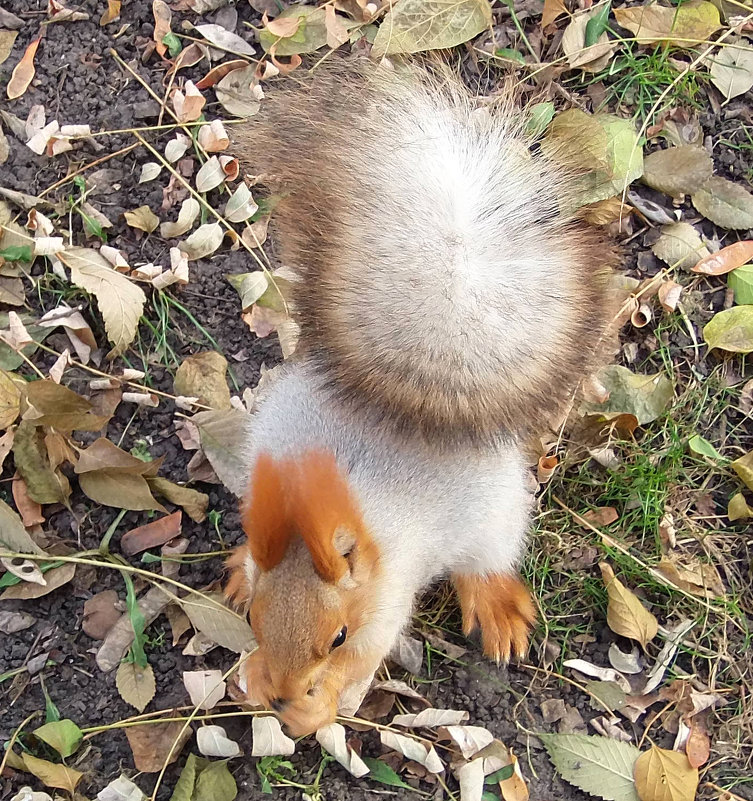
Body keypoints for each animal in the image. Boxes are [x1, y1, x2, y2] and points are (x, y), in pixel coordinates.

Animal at [225, 57, 616, 736]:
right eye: (254, 620)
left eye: (337, 637)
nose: (283, 691)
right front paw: (257, 677)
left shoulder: (386, 604)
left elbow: (363, 663)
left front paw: (314, 706)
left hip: (494, 515)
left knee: (486, 559)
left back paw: (493, 602)